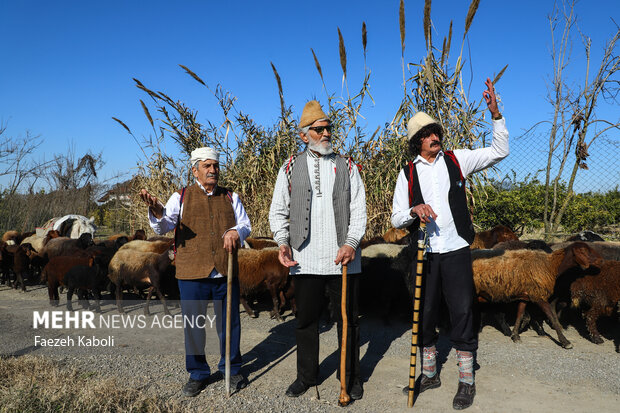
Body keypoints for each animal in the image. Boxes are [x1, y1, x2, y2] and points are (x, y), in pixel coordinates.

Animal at [472, 241, 604, 348]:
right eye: (583, 250)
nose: (601, 260)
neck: (551, 266)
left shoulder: (525, 296)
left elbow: (521, 315)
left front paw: (516, 335)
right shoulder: (539, 296)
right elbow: (551, 317)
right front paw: (565, 342)